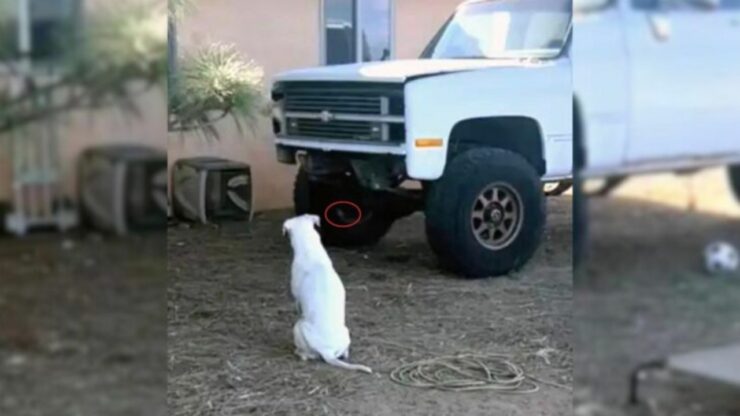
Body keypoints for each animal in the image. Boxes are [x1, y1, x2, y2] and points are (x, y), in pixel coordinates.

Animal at [284, 214, 376, 374]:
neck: (310, 250)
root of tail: (327, 352)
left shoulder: (296, 299)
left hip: (298, 327)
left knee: (306, 355)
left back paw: (299, 352)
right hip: (346, 331)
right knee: (344, 352)